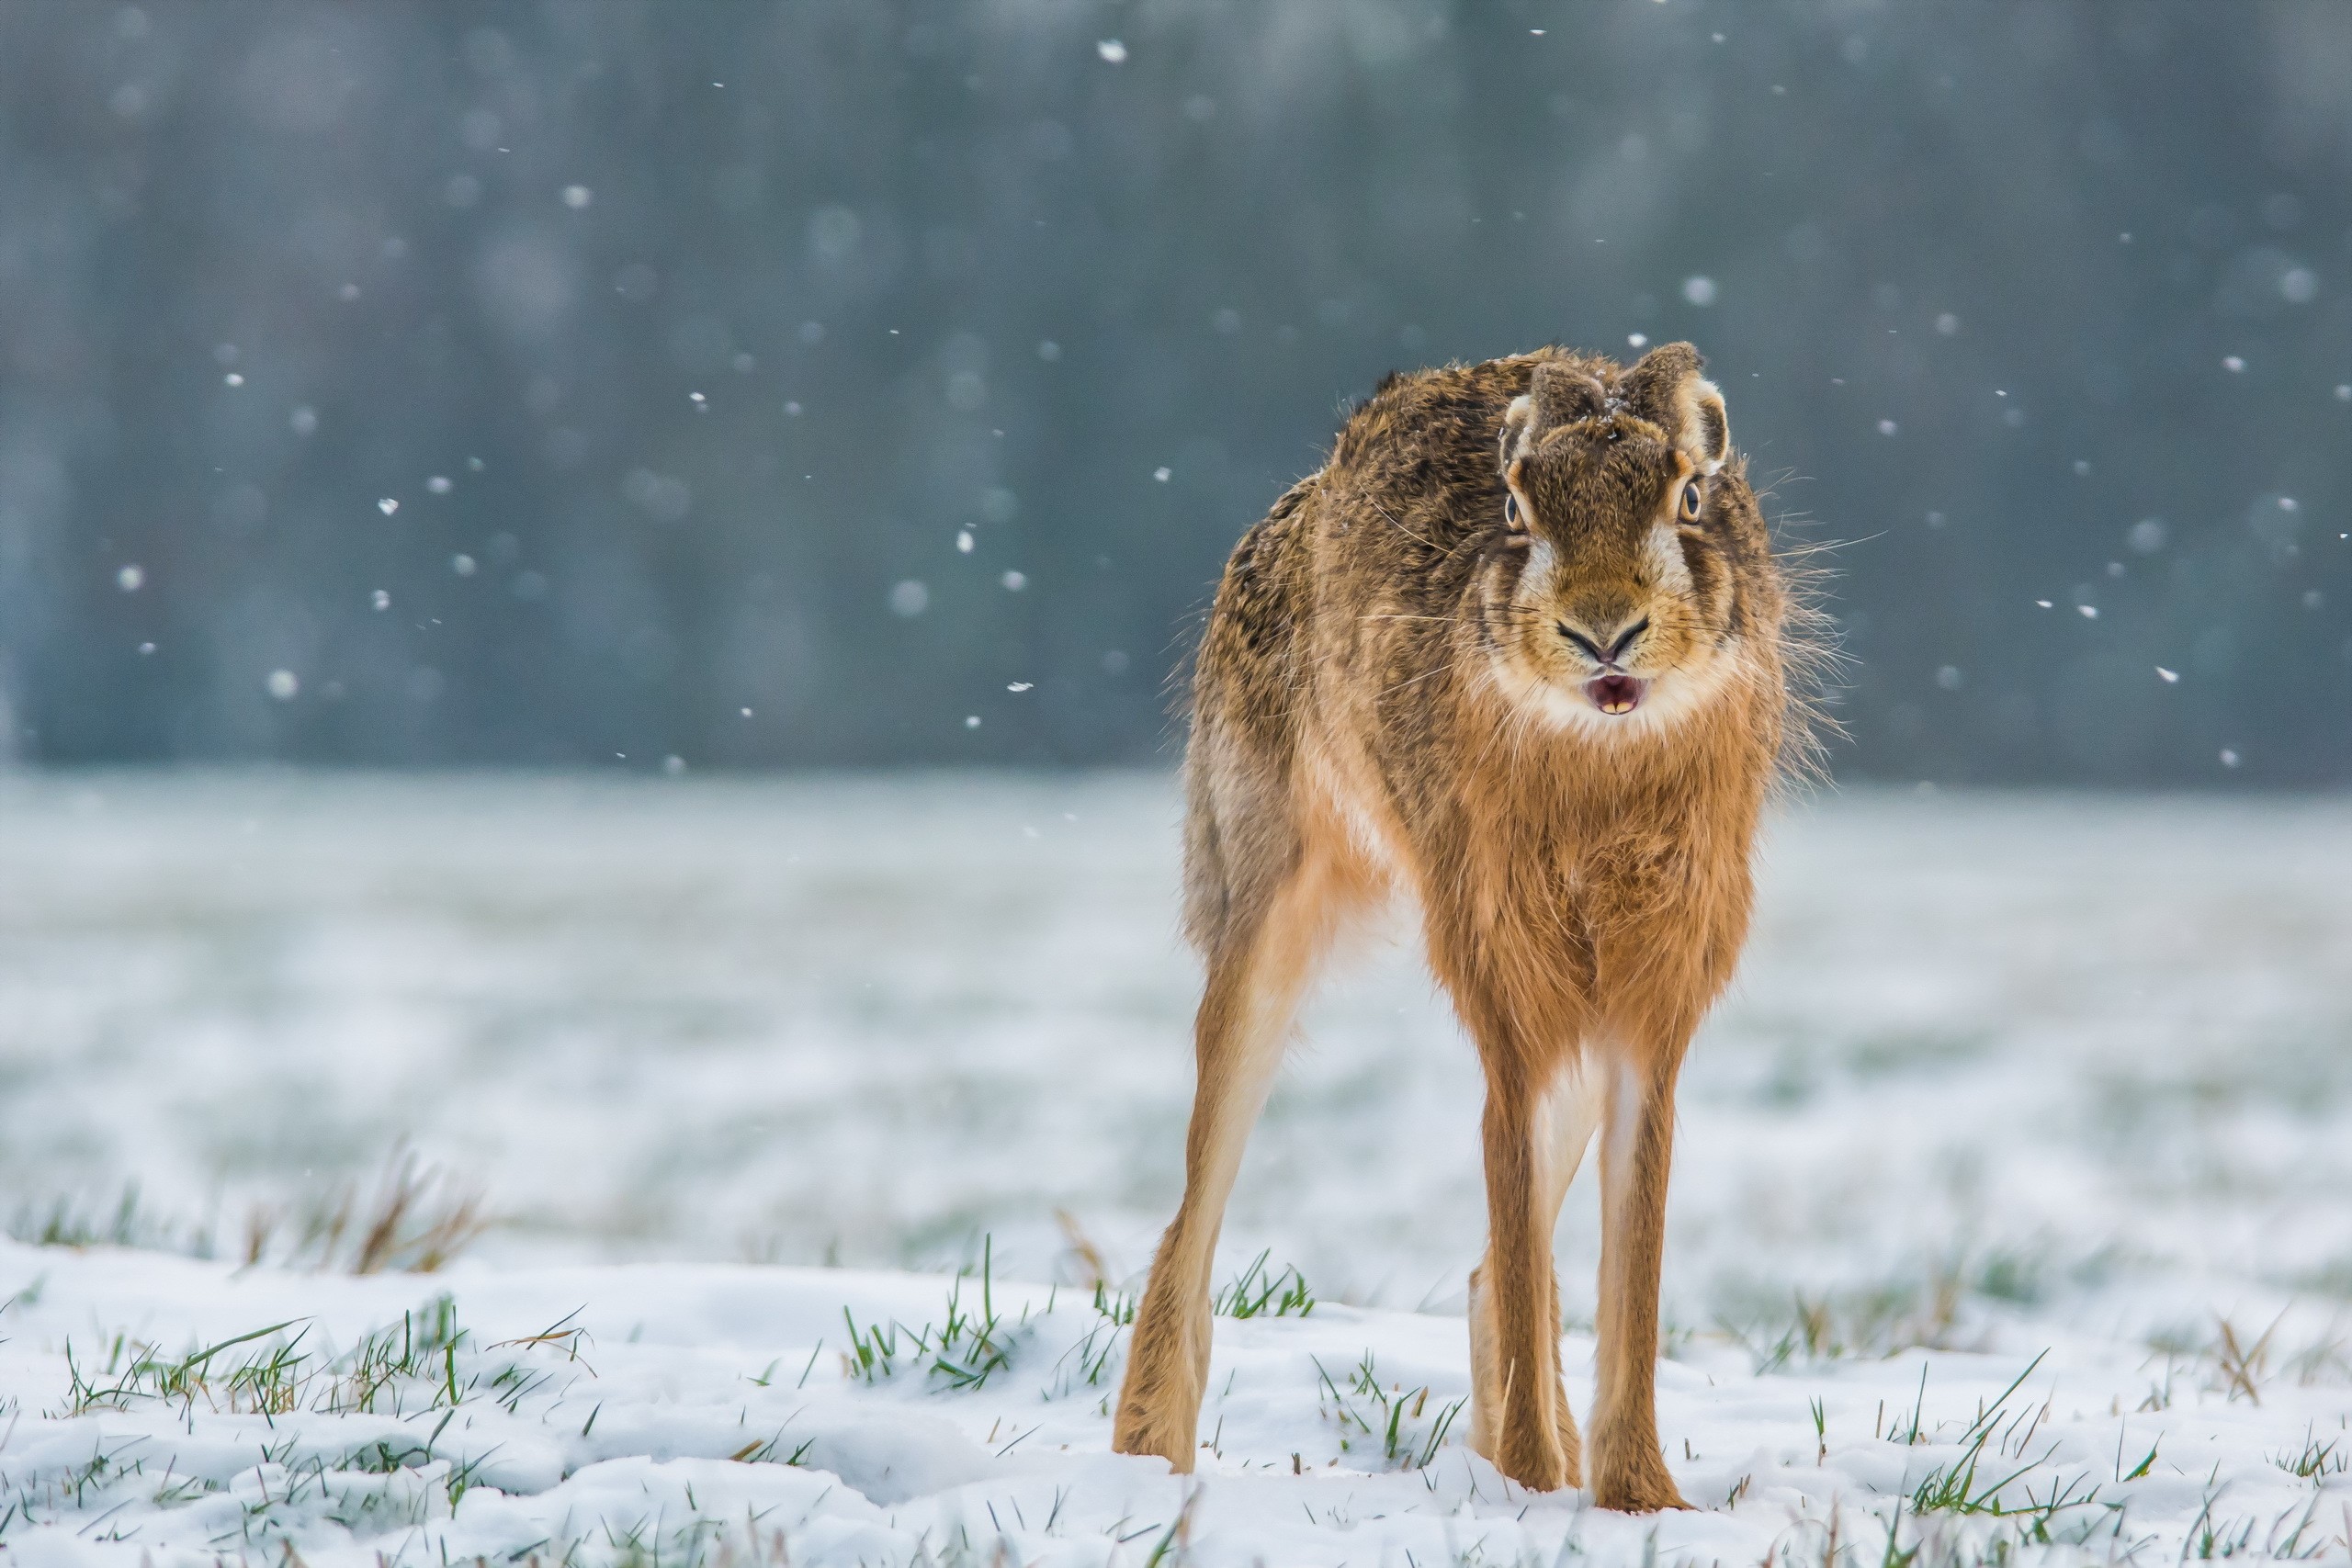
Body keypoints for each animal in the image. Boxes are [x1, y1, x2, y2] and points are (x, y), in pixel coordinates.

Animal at [1110, 342, 1825, 1509]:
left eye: (1688, 500)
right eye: (1517, 510)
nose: (1601, 629)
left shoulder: (1647, 1009)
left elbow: (1630, 1252)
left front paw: (1636, 1501)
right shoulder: (1502, 983)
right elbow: (1516, 1187)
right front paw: (1535, 1490)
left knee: (1501, 1263)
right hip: (1264, 901)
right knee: (1196, 1208)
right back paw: (1148, 1462)